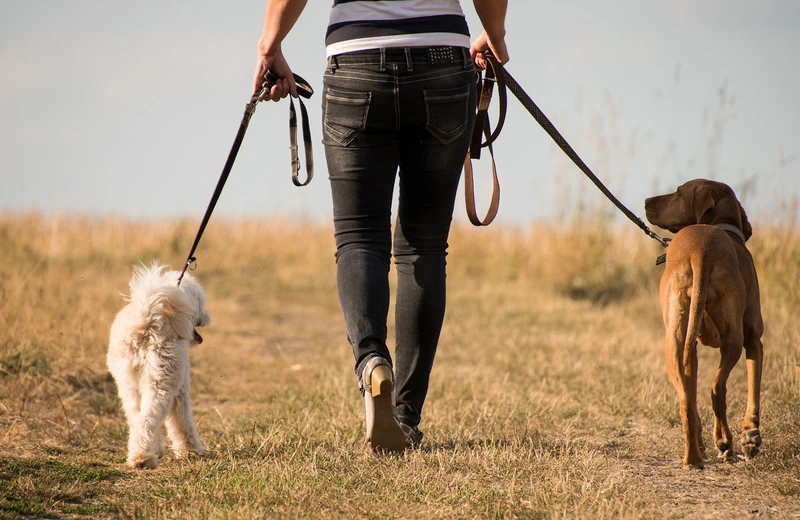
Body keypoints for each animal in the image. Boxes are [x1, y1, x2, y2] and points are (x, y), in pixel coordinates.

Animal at [108, 262, 211, 470]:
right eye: (200, 302)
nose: (207, 315)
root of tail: (147, 318)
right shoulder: (181, 390)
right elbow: (183, 422)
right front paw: (192, 450)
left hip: (128, 384)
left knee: (136, 418)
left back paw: (141, 453)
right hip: (160, 383)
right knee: (146, 419)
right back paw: (144, 459)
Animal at [644, 179, 764, 468]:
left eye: (678, 192)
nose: (646, 201)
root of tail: (701, 250)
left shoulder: (693, 347)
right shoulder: (754, 337)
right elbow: (753, 389)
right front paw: (750, 436)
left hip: (674, 342)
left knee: (686, 400)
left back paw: (694, 457)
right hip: (733, 339)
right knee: (717, 388)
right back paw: (725, 443)